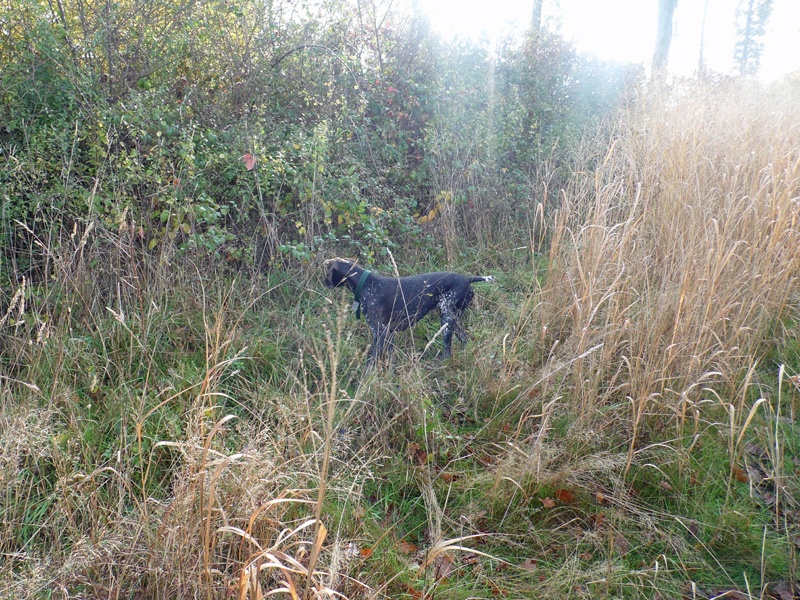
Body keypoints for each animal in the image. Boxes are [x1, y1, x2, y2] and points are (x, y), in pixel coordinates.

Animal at [324, 258, 494, 365]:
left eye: (327, 272)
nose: (324, 282)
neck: (366, 283)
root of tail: (467, 278)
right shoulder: (390, 335)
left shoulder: (381, 332)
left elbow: (370, 362)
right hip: (453, 319)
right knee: (464, 338)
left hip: (446, 318)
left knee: (447, 351)